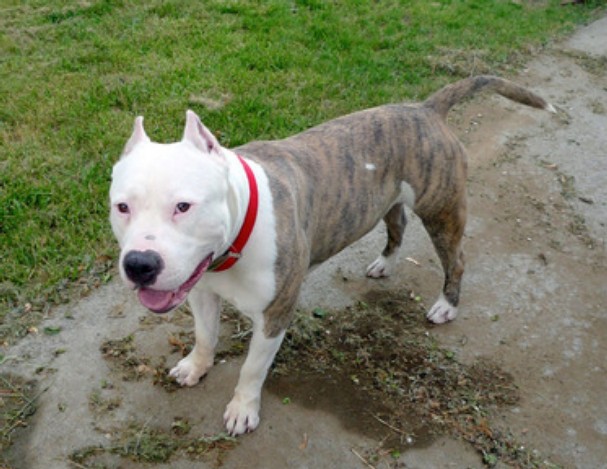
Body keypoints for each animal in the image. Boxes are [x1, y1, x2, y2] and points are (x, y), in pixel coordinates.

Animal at [109, 74, 556, 436]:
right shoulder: (201, 290)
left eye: (184, 206)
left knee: (455, 259)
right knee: (397, 225)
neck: (235, 238)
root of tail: (426, 110)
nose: (140, 264)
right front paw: (196, 366)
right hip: (387, 200)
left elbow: (252, 368)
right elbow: (205, 336)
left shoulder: (275, 315)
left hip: (442, 212)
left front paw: (242, 408)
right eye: (122, 207)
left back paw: (447, 304)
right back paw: (385, 263)